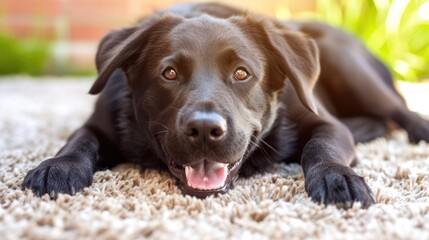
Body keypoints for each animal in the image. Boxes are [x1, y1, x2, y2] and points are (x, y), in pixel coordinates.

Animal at [22, 2, 428, 207]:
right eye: (169, 73)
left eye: (241, 73)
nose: (205, 129)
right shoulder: (100, 122)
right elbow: (79, 140)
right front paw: (58, 165)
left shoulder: (326, 123)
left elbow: (321, 147)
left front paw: (336, 175)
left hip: (347, 64)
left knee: (399, 110)